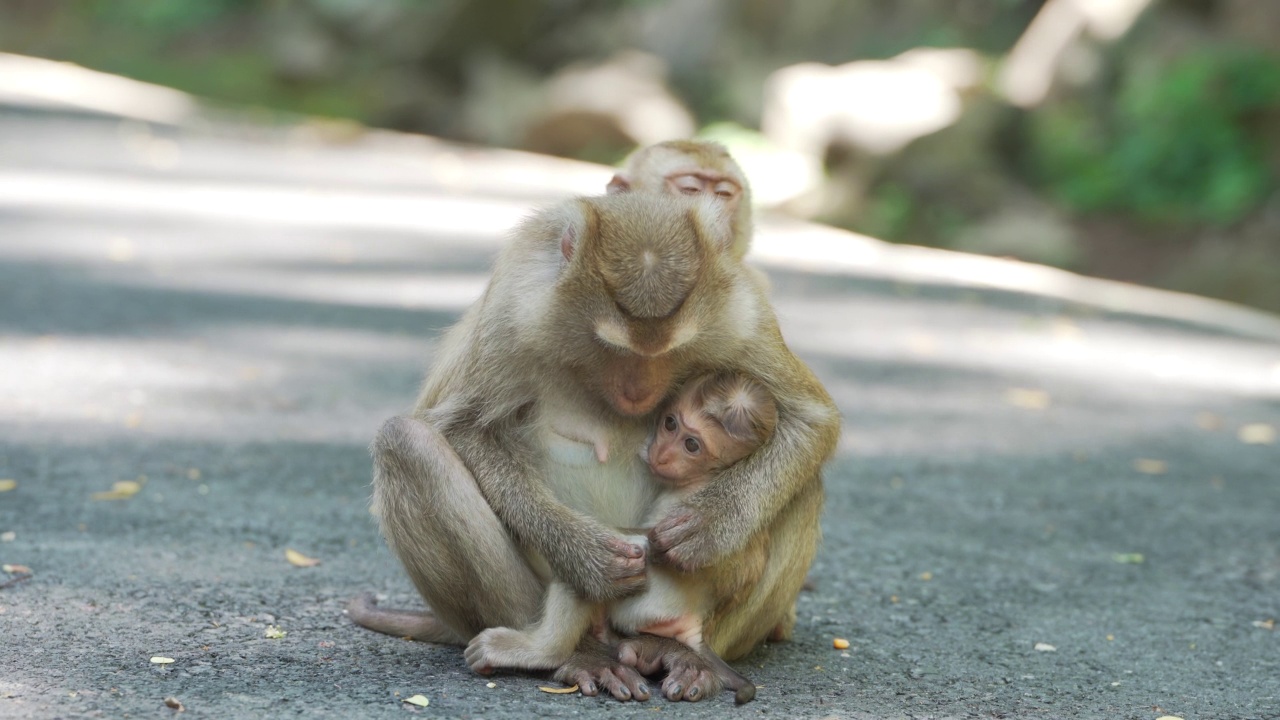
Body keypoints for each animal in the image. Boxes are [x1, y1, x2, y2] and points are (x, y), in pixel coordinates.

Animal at [465, 368, 773, 702]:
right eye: (670, 424)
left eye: (692, 445)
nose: (662, 454)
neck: (702, 477)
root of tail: (695, 628)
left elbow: (650, 543)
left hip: (644, 606)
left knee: (598, 572)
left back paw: (542, 649)